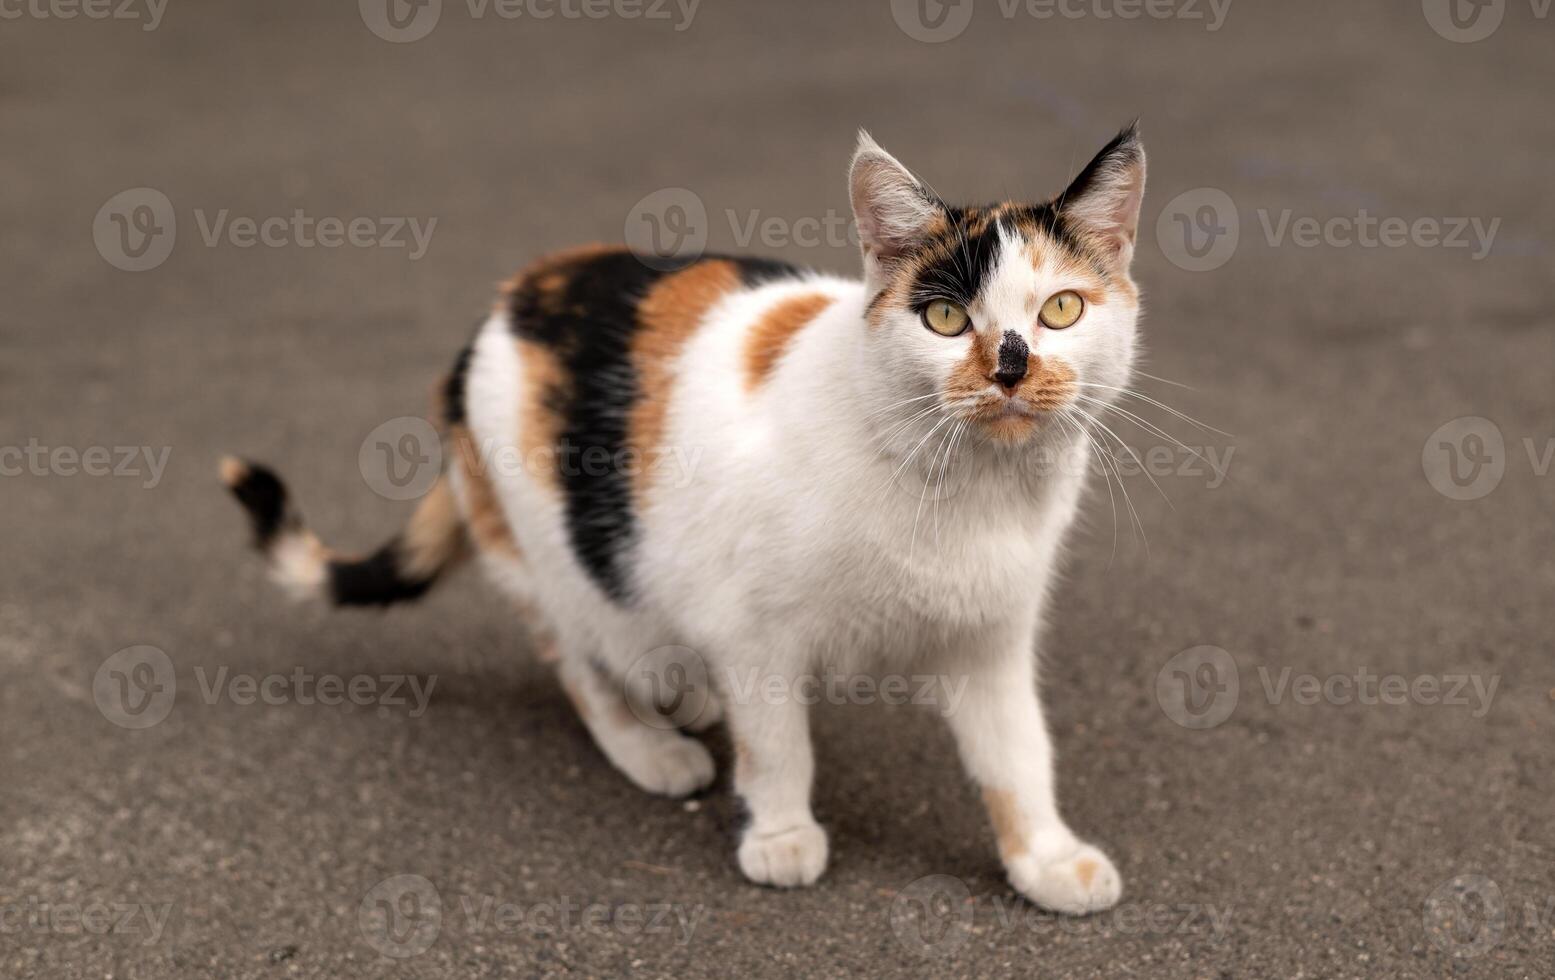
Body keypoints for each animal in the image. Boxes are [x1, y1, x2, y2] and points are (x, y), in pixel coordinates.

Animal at [222, 126, 1144, 920]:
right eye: (946, 319)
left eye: (1060, 310)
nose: (1009, 367)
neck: (965, 487)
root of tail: (493, 313)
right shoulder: (756, 633)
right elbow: (777, 745)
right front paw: (779, 834)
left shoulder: (992, 638)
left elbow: (1017, 756)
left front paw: (1045, 861)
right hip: (554, 560)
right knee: (583, 663)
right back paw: (650, 746)